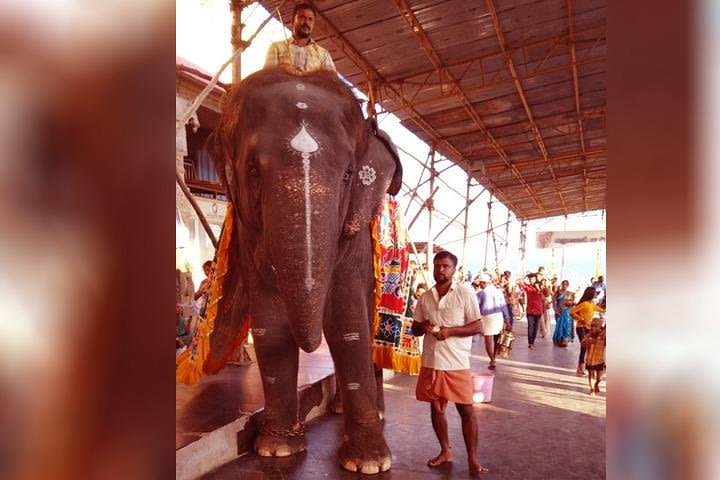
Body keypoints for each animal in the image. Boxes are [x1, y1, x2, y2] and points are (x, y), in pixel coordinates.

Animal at [202, 68, 402, 476]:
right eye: (251, 170)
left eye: (349, 174)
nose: (310, 344)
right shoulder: (249, 233)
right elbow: (271, 322)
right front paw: (276, 451)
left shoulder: (353, 233)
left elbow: (347, 322)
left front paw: (370, 465)